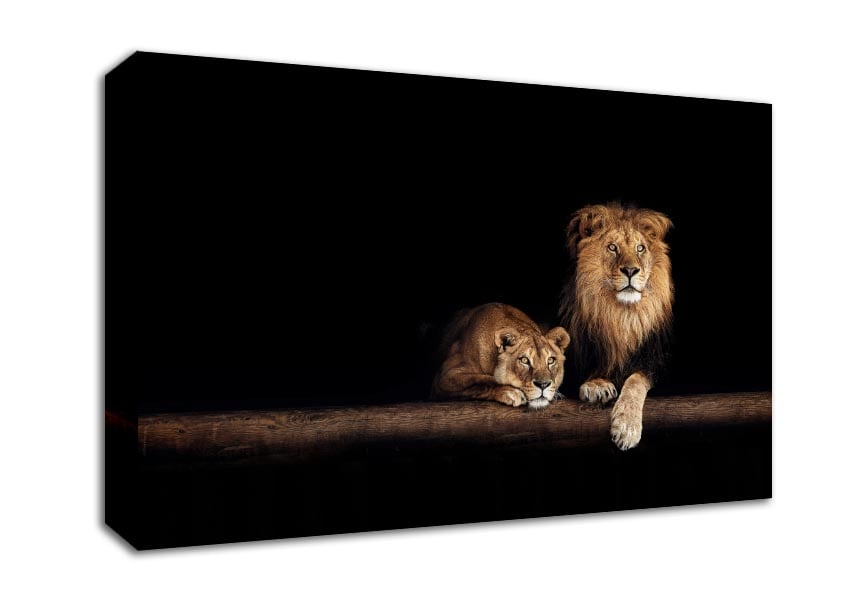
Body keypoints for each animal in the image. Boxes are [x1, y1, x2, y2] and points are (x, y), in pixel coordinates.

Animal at [433, 303, 571, 410]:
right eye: (524, 360)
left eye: (551, 360)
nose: (543, 385)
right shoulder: (444, 378)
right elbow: (483, 381)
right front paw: (511, 392)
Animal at [559, 202, 674, 450]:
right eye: (612, 247)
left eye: (640, 248)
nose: (630, 270)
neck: (621, 316)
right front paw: (597, 385)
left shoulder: (657, 360)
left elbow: (635, 380)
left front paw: (627, 428)